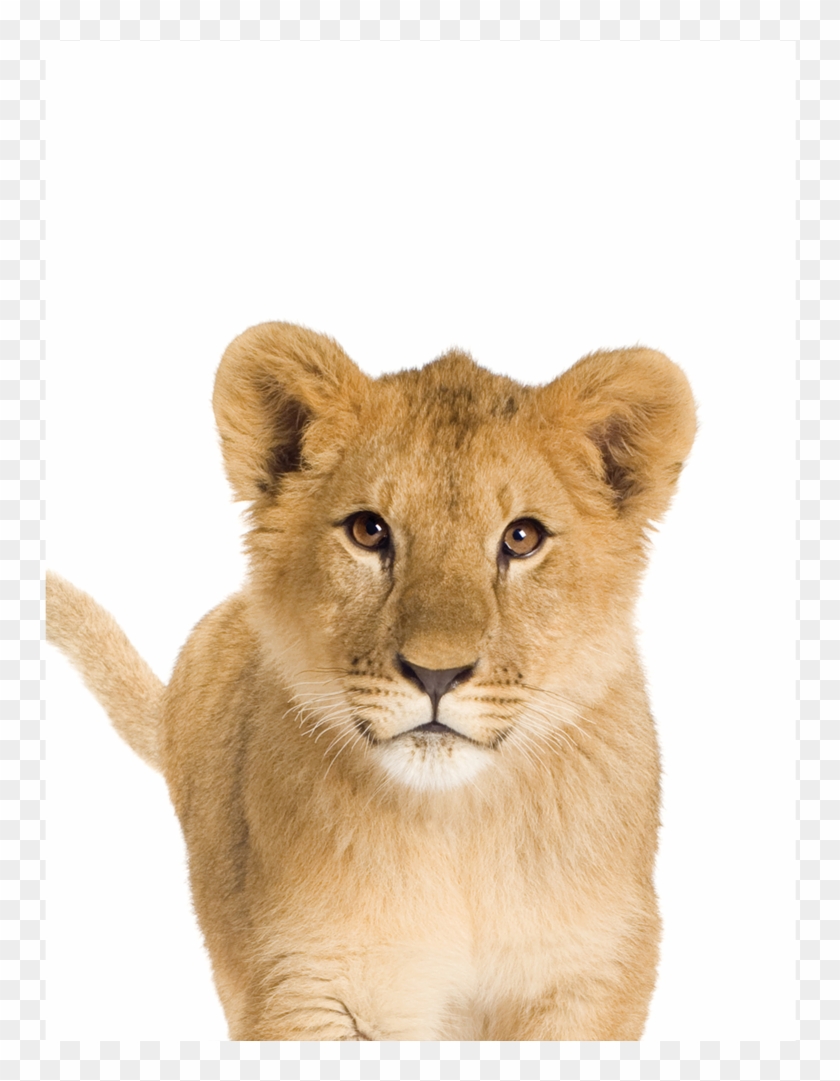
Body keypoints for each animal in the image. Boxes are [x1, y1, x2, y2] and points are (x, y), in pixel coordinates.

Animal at [47, 321, 696, 1040]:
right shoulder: (306, 984)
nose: (436, 671)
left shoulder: (593, 973)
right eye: (368, 530)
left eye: (522, 537)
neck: (456, 833)